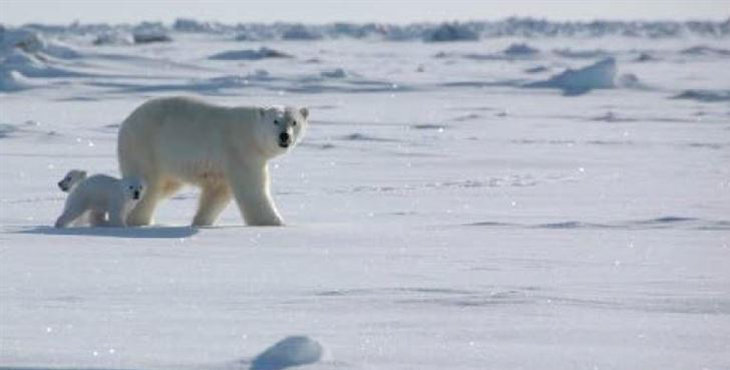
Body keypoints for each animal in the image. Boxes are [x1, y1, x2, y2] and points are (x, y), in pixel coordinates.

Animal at [118, 95, 306, 227]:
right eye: (275, 121)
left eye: (294, 122)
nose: (284, 136)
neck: (253, 135)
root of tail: (126, 122)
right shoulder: (241, 152)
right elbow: (252, 189)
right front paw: (275, 223)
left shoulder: (224, 168)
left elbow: (218, 193)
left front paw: (201, 221)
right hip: (146, 146)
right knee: (150, 185)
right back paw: (138, 220)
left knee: (166, 186)